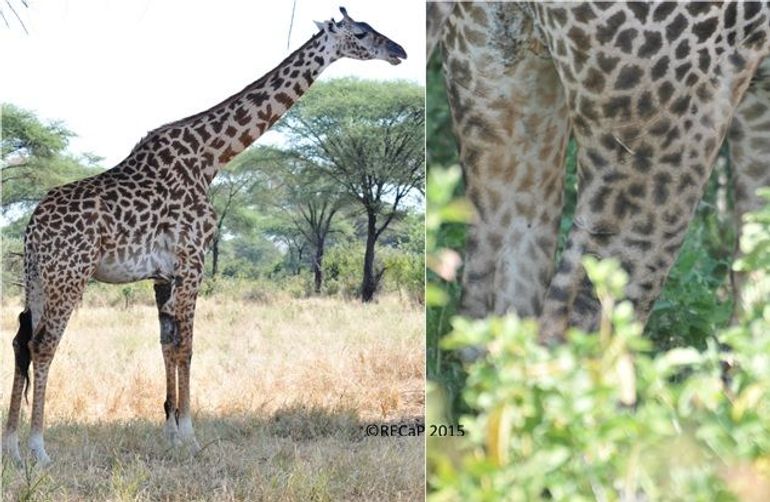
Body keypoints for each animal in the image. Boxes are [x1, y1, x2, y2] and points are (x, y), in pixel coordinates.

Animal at [1, 6, 408, 466]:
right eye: (362, 33)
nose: (400, 51)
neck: (210, 158)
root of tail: (32, 227)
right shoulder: (194, 259)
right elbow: (188, 347)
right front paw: (190, 436)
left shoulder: (164, 274)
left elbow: (167, 344)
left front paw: (170, 432)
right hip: (70, 275)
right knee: (44, 344)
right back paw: (38, 448)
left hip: (37, 276)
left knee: (20, 340)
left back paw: (12, 446)